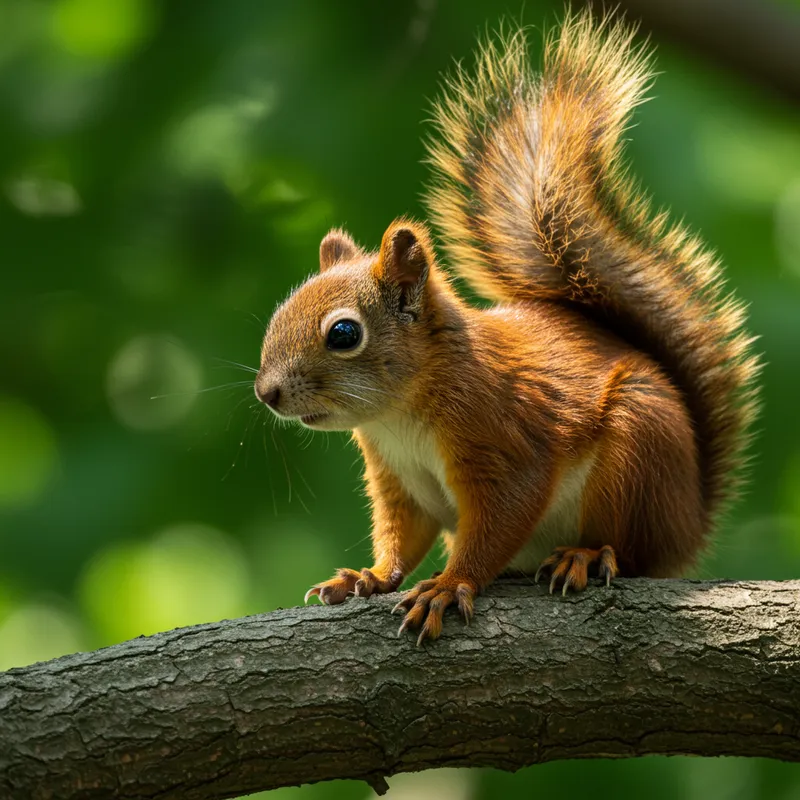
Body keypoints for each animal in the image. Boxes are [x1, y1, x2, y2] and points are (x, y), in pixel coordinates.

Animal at [254, 10, 759, 645]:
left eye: (344, 334)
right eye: (278, 313)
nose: (266, 393)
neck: (400, 415)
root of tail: (689, 523)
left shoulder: (503, 437)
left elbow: (500, 519)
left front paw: (448, 586)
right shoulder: (398, 479)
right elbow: (402, 536)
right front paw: (366, 577)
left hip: (638, 452)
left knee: (629, 549)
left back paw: (586, 555)